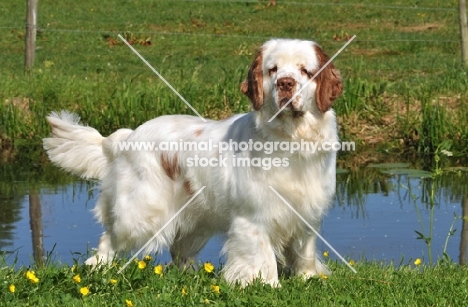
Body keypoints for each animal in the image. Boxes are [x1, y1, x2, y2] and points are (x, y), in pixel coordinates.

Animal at [43, 39, 344, 288]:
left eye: (305, 71)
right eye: (272, 70)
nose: (285, 83)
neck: (291, 140)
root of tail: (126, 137)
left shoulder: (307, 212)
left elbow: (304, 250)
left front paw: (307, 278)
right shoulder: (253, 217)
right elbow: (262, 256)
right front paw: (268, 285)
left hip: (194, 219)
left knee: (180, 252)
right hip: (141, 213)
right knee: (109, 240)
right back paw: (100, 270)